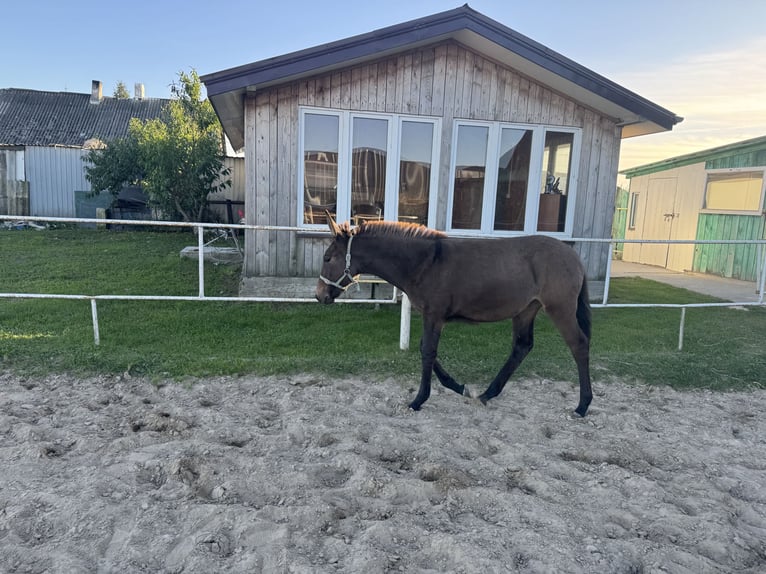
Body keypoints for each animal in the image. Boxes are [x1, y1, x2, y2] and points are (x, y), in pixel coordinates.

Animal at [315, 216, 593, 416]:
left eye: (327, 258)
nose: (319, 295)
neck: (426, 262)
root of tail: (575, 258)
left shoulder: (434, 315)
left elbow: (427, 351)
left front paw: (418, 400)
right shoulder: (432, 316)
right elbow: (426, 350)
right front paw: (460, 388)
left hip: (559, 308)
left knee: (579, 344)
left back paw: (582, 405)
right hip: (526, 310)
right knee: (522, 347)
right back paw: (487, 394)